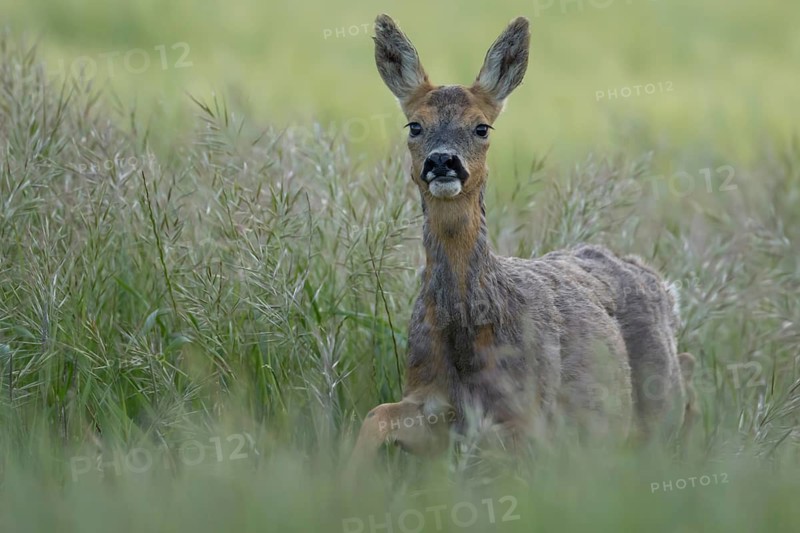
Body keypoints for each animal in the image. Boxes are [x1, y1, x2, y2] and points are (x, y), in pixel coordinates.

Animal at [346, 14, 696, 480]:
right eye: (414, 125)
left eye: (482, 127)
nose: (442, 161)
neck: (467, 334)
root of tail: (660, 284)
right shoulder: (430, 400)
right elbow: (376, 415)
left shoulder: (529, 415)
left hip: (659, 395)